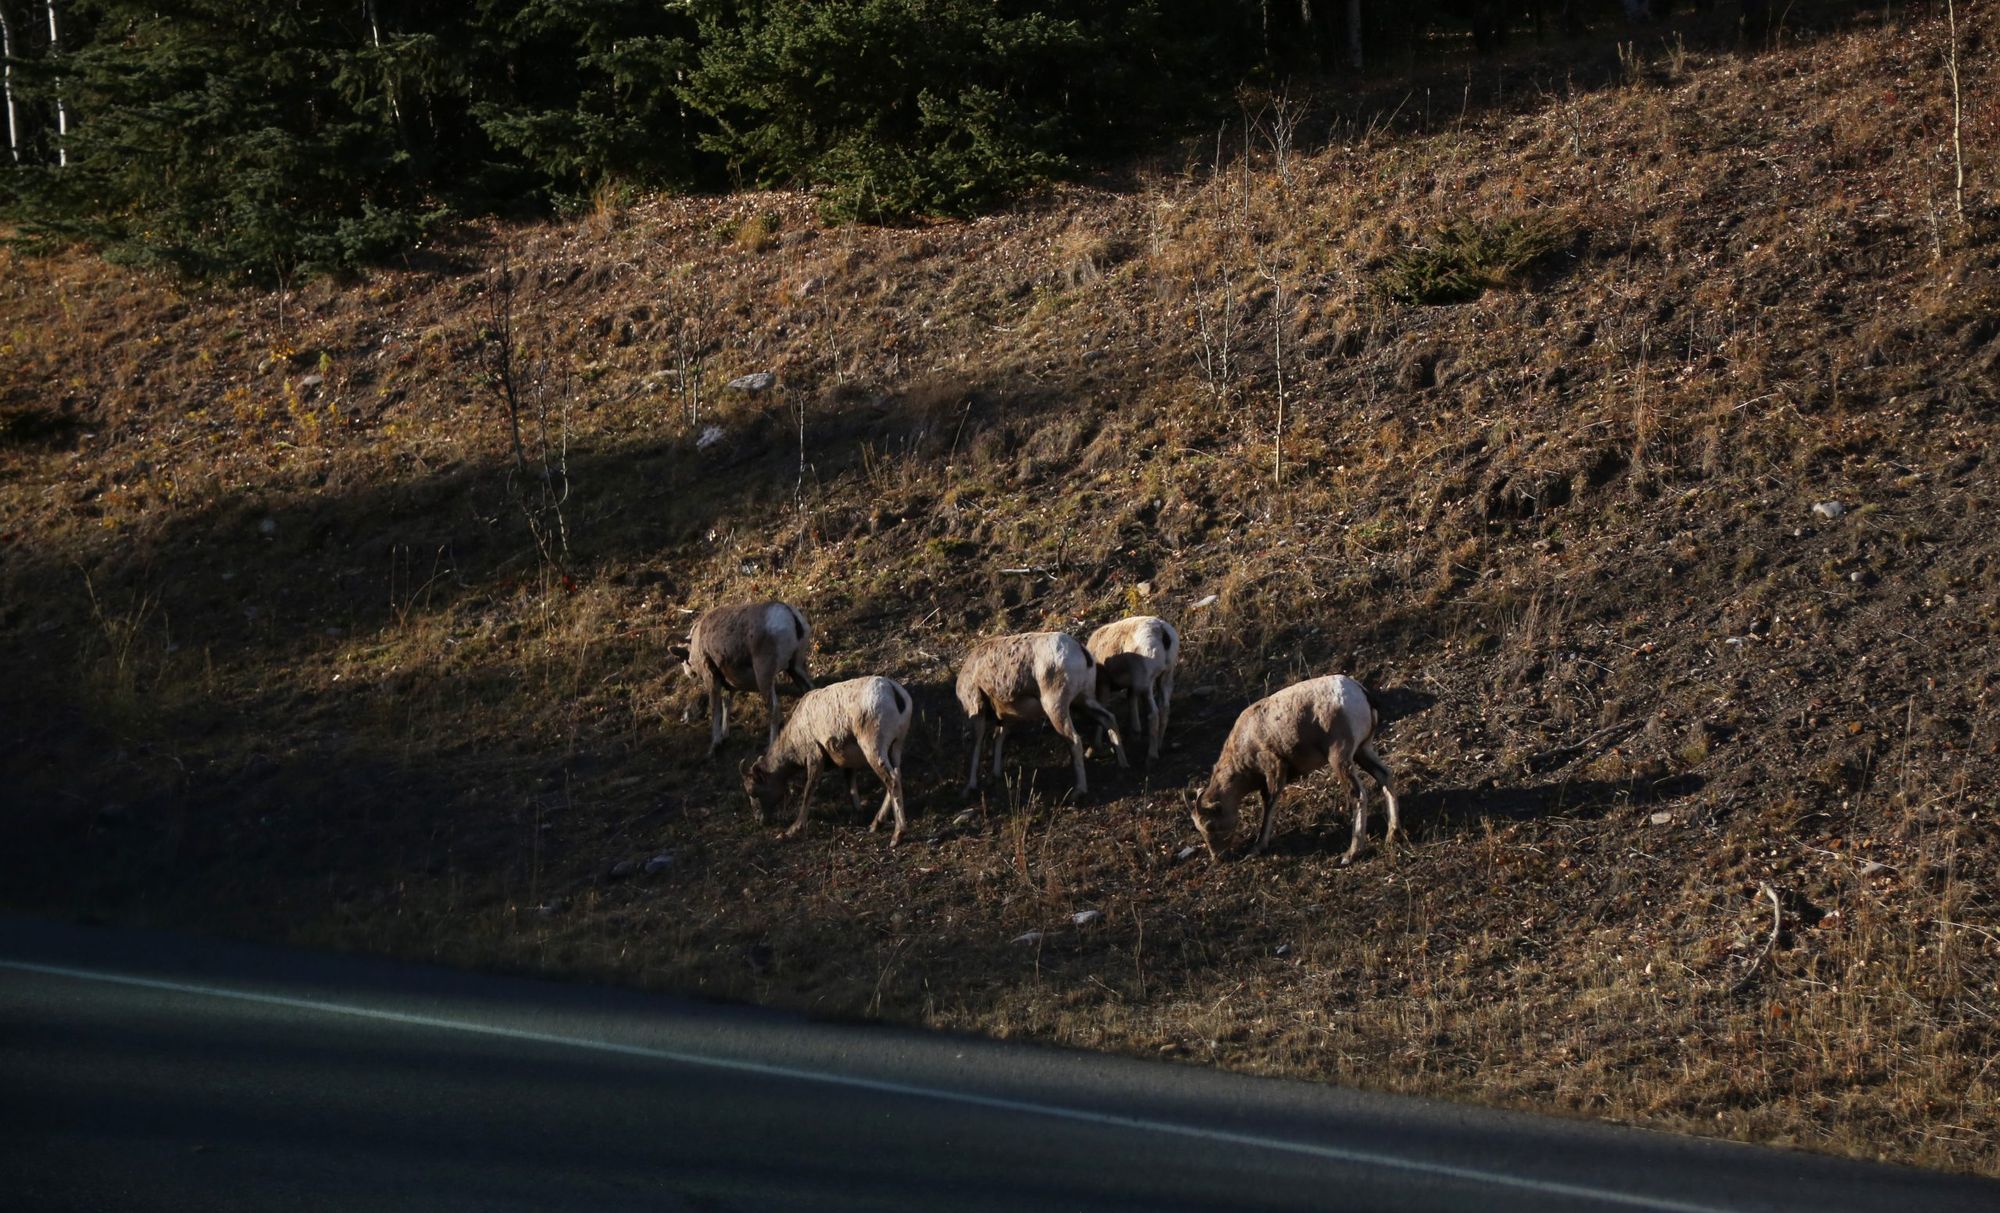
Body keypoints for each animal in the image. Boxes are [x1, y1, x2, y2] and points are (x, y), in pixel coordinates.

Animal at [669, 600, 814, 756]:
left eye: (683, 660)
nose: (689, 674)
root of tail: (789, 614)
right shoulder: (730, 685)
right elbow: (726, 704)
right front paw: (724, 736)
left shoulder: (711, 679)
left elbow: (715, 709)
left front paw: (714, 746)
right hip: (795, 667)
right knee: (809, 692)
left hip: (764, 676)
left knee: (774, 710)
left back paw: (769, 748)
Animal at [741, 675, 913, 844]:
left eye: (753, 792)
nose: (760, 820)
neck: (796, 735)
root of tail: (894, 692)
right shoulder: (847, 762)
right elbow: (851, 786)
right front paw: (857, 814)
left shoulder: (815, 758)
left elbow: (808, 791)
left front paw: (794, 829)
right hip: (895, 748)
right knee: (896, 776)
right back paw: (876, 824)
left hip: (873, 748)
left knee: (891, 780)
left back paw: (897, 835)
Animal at [957, 631, 1128, 796]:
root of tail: (1081, 651)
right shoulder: (1007, 718)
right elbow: (997, 739)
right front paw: (995, 774)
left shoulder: (977, 710)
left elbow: (977, 746)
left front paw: (970, 787)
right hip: (1083, 701)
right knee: (1109, 719)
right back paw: (1123, 764)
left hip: (1055, 707)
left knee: (1074, 740)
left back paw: (1079, 790)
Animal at [1086, 615, 1179, 761]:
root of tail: (1162, 631)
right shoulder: (1132, 688)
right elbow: (1131, 702)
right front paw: (1135, 735)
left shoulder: (1104, 685)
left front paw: (1093, 749)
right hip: (1165, 678)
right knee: (1165, 709)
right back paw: (1159, 746)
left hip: (1146, 684)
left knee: (1153, 714)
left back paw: (1151, 756)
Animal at [1191, 674, 1400, 864]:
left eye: (1210, 826)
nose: (1218, 858)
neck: (1245, 740)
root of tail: (1360, 692)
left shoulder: (1274, 770)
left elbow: (1269, 804)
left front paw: (1257, 848)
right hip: (1362, 751)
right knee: (1385, 776)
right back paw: (1392, 834)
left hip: (1340, 758)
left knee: (1358, 795)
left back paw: (1351, 854)